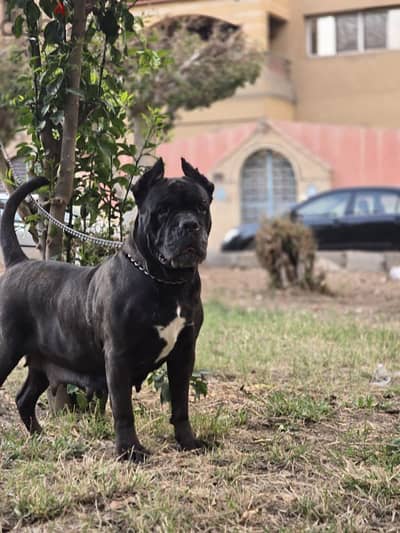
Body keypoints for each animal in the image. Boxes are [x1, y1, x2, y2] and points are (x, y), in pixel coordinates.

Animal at [0, 156, 214, 460]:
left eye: (200, 207)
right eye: (162, 210)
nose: (190, 225)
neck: (166, 281)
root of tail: (18, 262)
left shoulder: (183, 353)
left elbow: (181, 403)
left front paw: (188, 442)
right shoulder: (118, 356)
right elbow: (123, 408)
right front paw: (130, 450)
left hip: (42, 362)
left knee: (24, 398)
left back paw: (41, 438)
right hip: (6, 349)